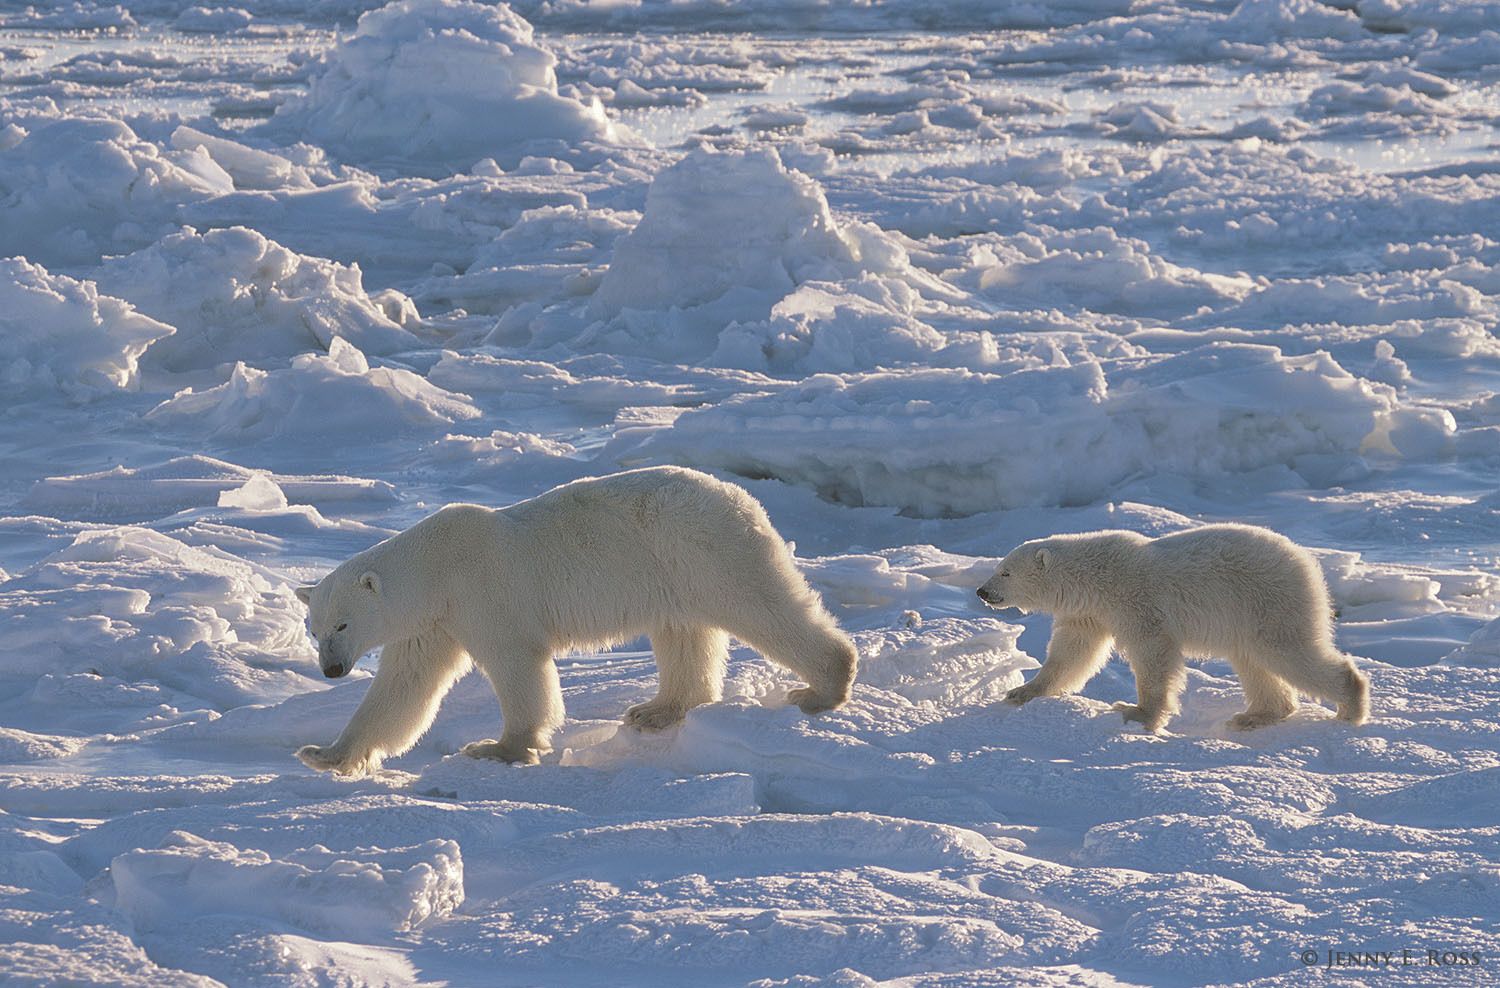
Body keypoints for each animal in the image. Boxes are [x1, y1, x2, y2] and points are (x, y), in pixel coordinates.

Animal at [294, 467, 858, 779]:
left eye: (342, 626)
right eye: (315, 630)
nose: (332, 671)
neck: (435, 566)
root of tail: (736, 495)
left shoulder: (483, 592)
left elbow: (518, 664)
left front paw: (498, 748)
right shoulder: (435, 621)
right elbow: (404, 686)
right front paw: (325, 754)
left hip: (699, 548)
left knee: (759, 605)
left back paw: (823, 686)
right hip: (672, 571)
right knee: (684, 634)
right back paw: (656, 710)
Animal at [972, 524, 1374, 734]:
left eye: (1005, 571)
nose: (982, 591)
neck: (1095, 576)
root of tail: (1304, 561)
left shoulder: (1135, 602)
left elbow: (1153, 655)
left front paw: (1138, 714)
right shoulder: (1091, 613)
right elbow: (1070, 654)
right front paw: (1021, 691)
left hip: (1266, 601)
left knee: (1286, 651)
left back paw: (1350, 708)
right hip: (1249, 616)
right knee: (1253, 661)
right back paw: (1252, 716)